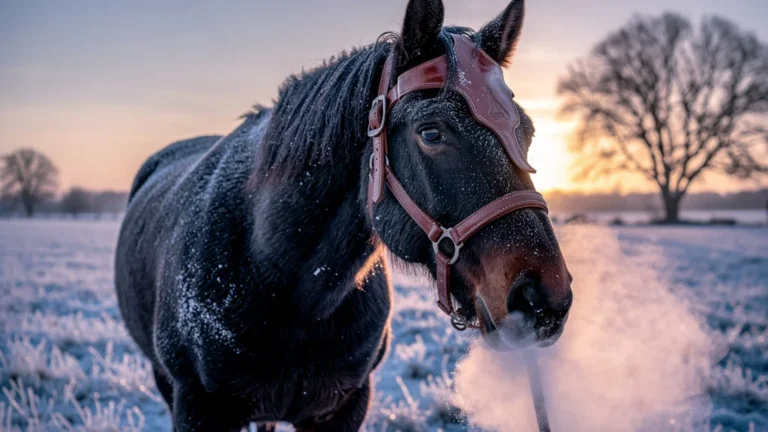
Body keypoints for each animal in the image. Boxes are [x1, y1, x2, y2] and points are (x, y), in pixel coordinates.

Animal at [114, 0, 573, 430]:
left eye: (527, 131)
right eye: (431, 132)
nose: (544, 297)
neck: (285, 285)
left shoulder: (345, 406)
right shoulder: (196, 407)